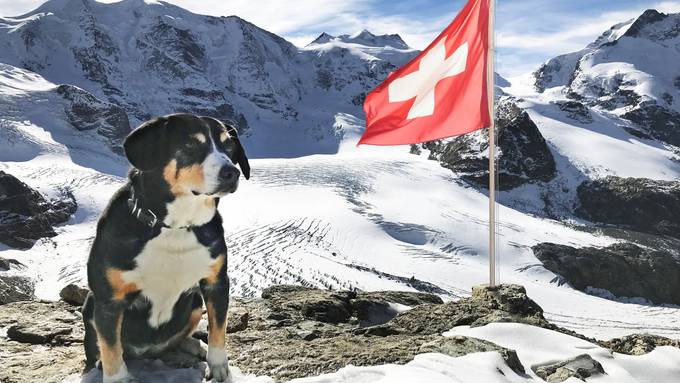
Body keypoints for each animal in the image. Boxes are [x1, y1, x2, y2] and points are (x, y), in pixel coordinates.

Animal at [81, 114, 248, 383]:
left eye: (228, 145)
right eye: (190, 145)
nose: (231, 173)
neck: (175, 227)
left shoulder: (217, 282)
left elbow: (218, 331)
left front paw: (219, 367)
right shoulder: (109, 299)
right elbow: (111, 348)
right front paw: (117, 377)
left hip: (194, 303)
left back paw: (194, 346)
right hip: (89, 303)